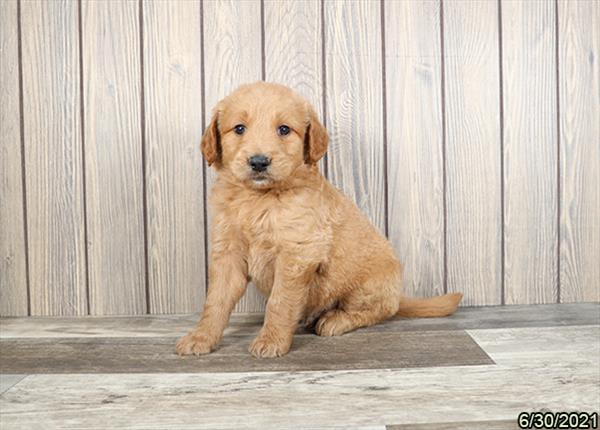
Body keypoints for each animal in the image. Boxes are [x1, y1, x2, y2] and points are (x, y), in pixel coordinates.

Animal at [176, 82, 462, 358]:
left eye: (284, 129)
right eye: (239, 128)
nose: (259, 162)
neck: (260, 199)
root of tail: (399, 294)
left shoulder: (296, 254)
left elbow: (280, 302)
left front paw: (271, 341)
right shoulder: (228, 253)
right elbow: (215, 301)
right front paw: (200, 338)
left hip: (368, 286)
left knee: (376, 311)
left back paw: (333, 320)